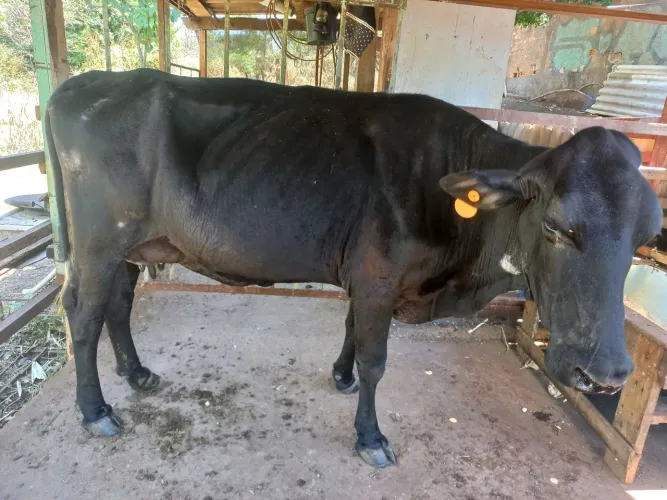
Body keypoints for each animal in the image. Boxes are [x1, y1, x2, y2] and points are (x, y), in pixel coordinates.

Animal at [45, 69, 662, 468]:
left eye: (645, 237)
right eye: (556, 226)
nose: (605, 374)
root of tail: (83, 82)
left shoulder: (365, 277)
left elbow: (349, 331)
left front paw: (340, 376)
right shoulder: (378, 277)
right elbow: (376, 360)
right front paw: (370, 438)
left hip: (135, 245)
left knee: (119, 303)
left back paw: (137, 374)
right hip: (99, 240)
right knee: (83, 310)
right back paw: (95, 410)